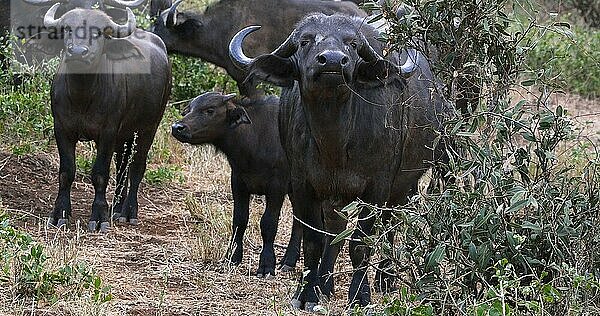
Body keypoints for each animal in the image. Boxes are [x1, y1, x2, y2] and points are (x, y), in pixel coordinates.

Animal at [171, 92, 302, 276]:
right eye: (188, 109)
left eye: (210, 110)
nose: (177, 127)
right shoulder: (238, 183)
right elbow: (239, 220)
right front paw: (232, 257)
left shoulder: (277, 187)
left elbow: (268, 223)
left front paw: (266, 265)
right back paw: (288, 261)